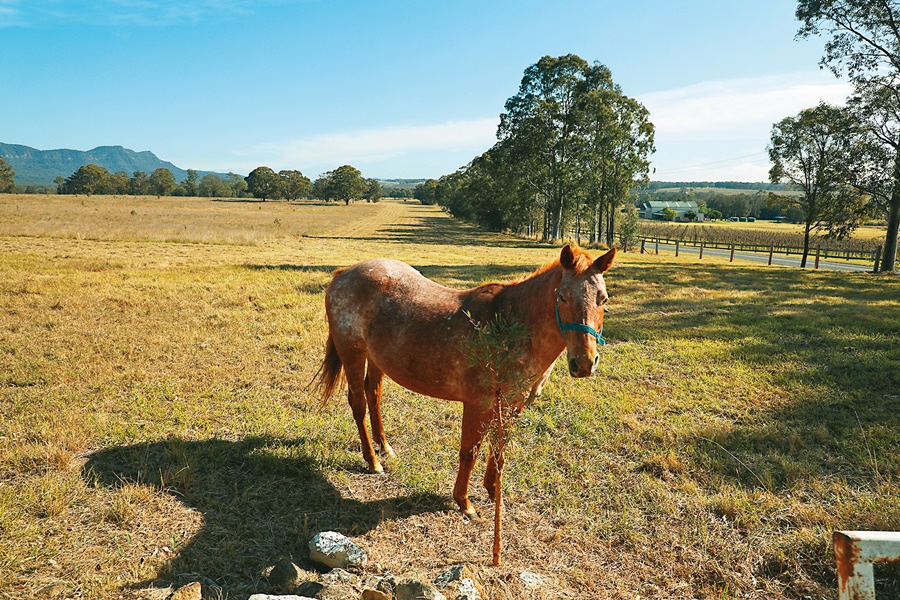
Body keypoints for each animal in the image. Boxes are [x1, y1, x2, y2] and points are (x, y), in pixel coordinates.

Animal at [314, 243, 615, 517]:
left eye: (603, 299)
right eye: (562, 297)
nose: (584, 363)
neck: (509, 326)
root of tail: (344, 272)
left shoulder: (513, 404)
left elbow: (499, 449)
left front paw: (494, 492)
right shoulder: (478, 404)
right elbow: (470, 452)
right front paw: (464, 502)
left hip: (377, 360)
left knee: (373, 395)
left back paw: (385, 447)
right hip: (353, 353)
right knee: (359, 403)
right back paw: (373, 461)